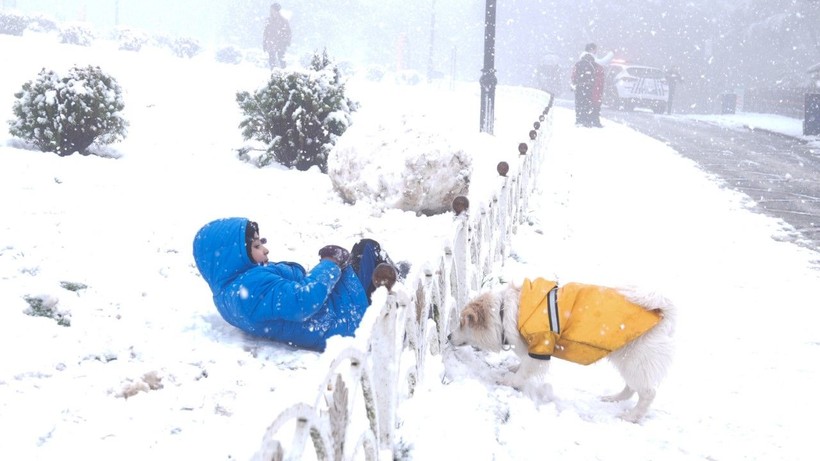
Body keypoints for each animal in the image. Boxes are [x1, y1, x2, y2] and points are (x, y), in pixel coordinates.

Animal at [452, 274, 676, 422]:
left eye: (462, 323)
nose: (447, 336)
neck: (502, 312)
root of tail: (661, 313)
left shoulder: (540, 347)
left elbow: (524, 370)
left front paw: (508, 380)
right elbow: (522, 363)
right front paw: (513, 368)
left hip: (637, 360)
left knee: (647, 393)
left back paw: (632, 416)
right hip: (627, 358)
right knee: (631, 387)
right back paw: (613, 399)